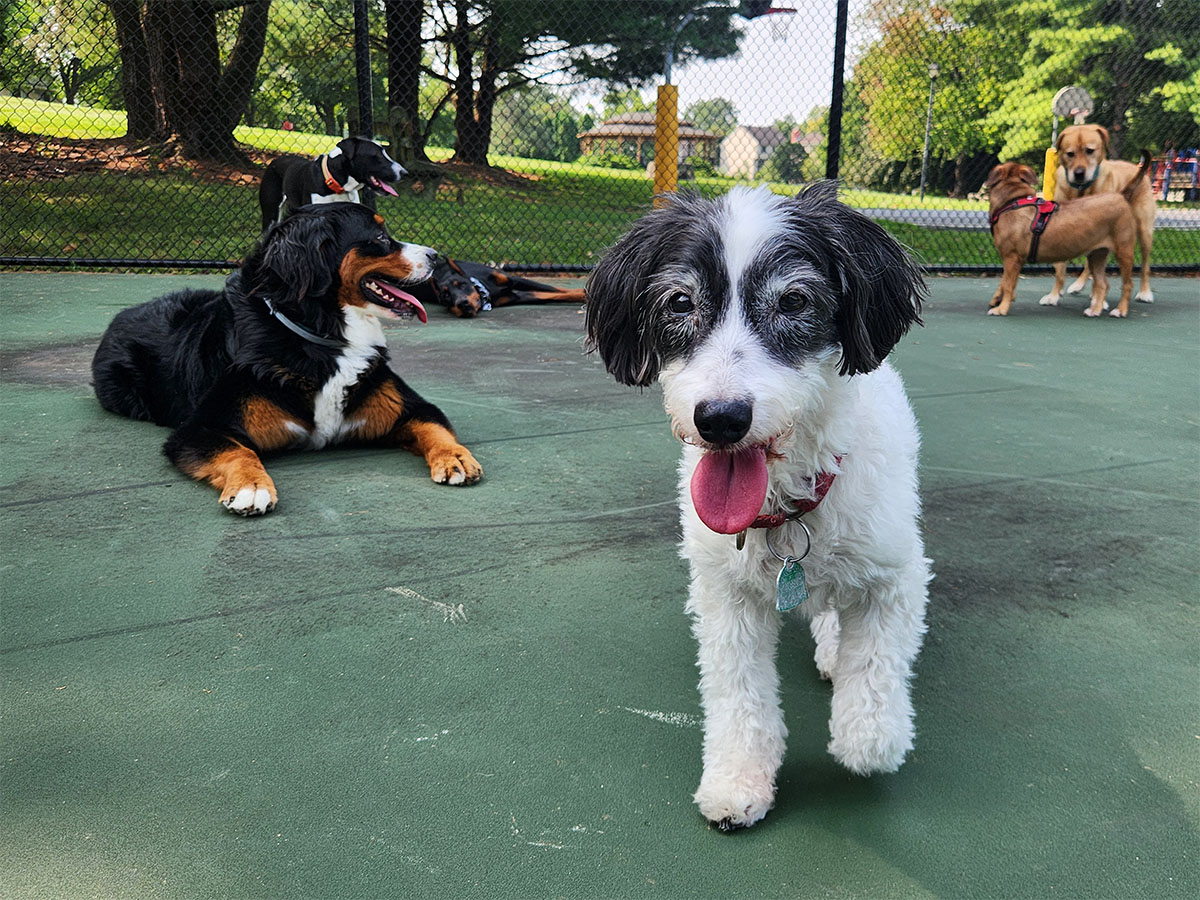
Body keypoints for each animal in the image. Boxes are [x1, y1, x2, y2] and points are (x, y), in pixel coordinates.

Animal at [91, 201, 482, 518]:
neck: (325, 339)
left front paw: (456, 456)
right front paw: (251, 486)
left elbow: (434, 426)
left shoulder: (407, 407)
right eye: (380, 237)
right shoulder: (198, 429)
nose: (436, 255)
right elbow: (237, 451)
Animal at [585, 183, 931, 830]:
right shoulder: (725, 595)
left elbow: (875, 665)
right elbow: (737, 692)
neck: (788, 510)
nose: (720, 419)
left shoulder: (895, 572)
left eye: (794, 300)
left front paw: (869, 738)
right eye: (679, 302)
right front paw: (737, 779)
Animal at [1046, 123, 1156, 309]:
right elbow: (1061, 270)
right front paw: (1054, 295)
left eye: (1090, 150)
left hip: (1144, 232)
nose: (1079, 173)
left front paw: (1099, 300)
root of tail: (1136, 168)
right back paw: (1080, 285)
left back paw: (1145, 292)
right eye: (1070, 153)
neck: (1081, 190)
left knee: (1145, 265)